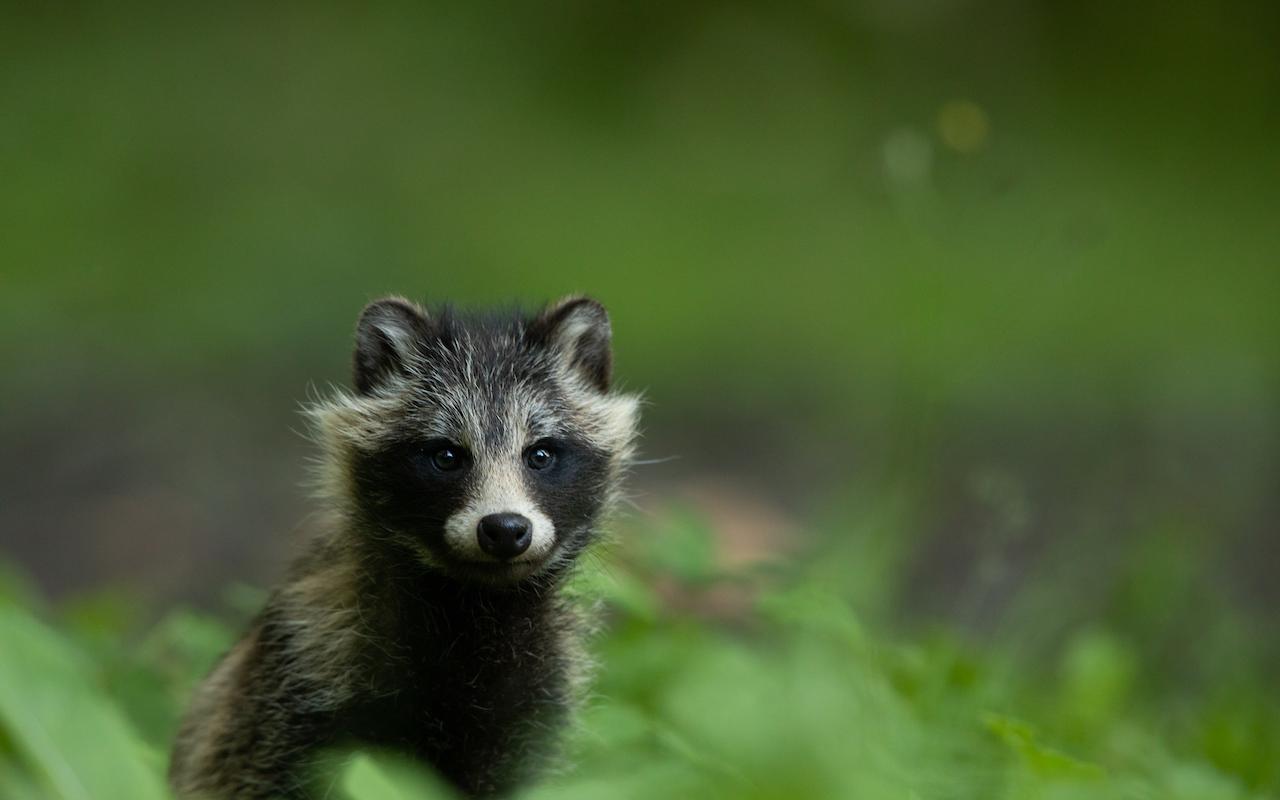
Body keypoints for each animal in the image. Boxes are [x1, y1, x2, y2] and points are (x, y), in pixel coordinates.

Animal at [172, 296, 640, 793]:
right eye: (447, 455)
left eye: (541, 454)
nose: (504, 529)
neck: (475, 605)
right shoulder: (300, 671)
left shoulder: (534, 697)